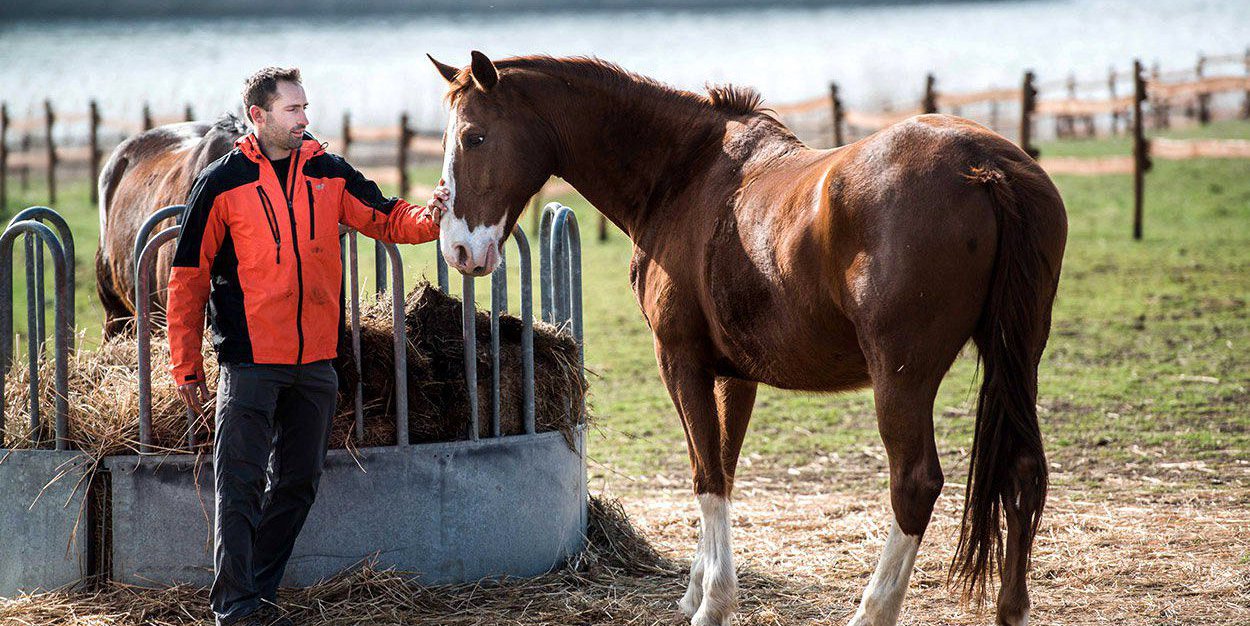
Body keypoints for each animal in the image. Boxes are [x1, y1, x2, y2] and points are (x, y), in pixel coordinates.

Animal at [427, 53, 1065, 624]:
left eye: (475, 137)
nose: (457, 248)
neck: (684, 173)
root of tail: (986, 167)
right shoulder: (735, 377)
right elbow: (723, 469)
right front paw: (696, 591)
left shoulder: (680, 362)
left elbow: (706, 474)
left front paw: (714, 604)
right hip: (1019, 359)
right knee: (1023, 470)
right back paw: (1012, 609)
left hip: (901, 378)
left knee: (915, 484)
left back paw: (873, 611)